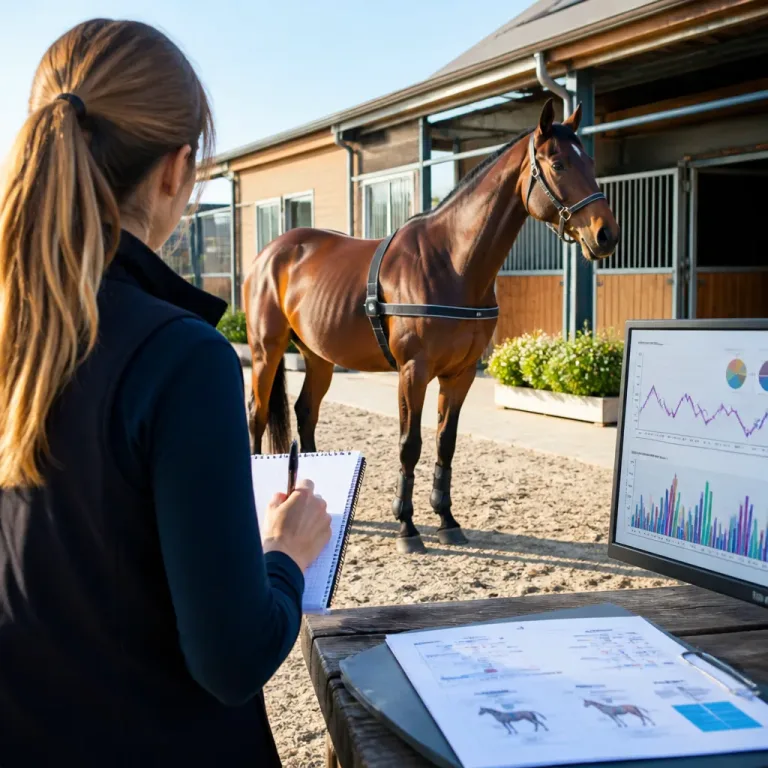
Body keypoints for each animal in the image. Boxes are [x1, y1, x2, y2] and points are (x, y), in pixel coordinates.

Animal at [243, 98, 619, 554]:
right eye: (559, 163)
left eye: (591, 161)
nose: (606, 234)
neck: (452, 261)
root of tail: (270, 253)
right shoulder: (413, 372)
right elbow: (410, 444)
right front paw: (407, 527)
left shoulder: (460, 374)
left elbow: (445, 442)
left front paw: (447, 519)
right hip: (266, 350)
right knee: (258, 415)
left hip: (319, 356)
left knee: (306, 413)